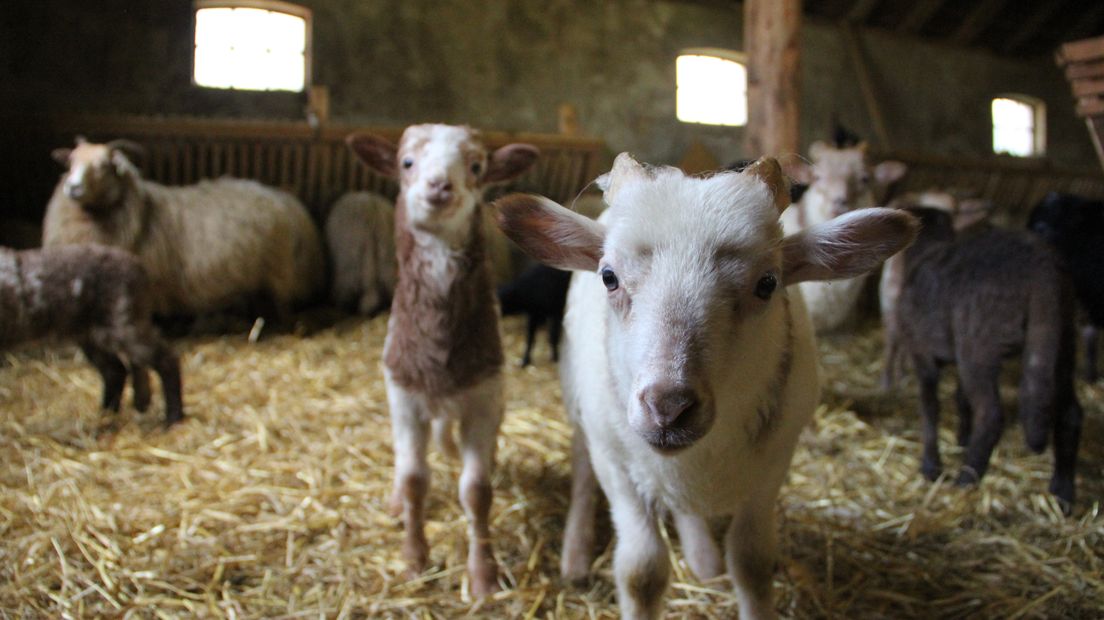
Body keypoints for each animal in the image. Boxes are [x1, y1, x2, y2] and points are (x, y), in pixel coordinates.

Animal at [342, 121, 536, 595]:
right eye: (406, 162)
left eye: (477, 166)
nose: (439, 186)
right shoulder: (406, 400)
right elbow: (416, 482)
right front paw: (414, 559)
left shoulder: (484, 401)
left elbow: (477, 490)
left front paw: (483, 576)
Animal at [496, 154, 918, 617]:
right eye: (609, 277)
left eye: (767, 284)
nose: (668, 407)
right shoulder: (617, 465)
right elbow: (641, 572)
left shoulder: (775, 462)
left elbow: (752, 563)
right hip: (579, 404)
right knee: (582, 468)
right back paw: (576, 553)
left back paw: (702, 557)